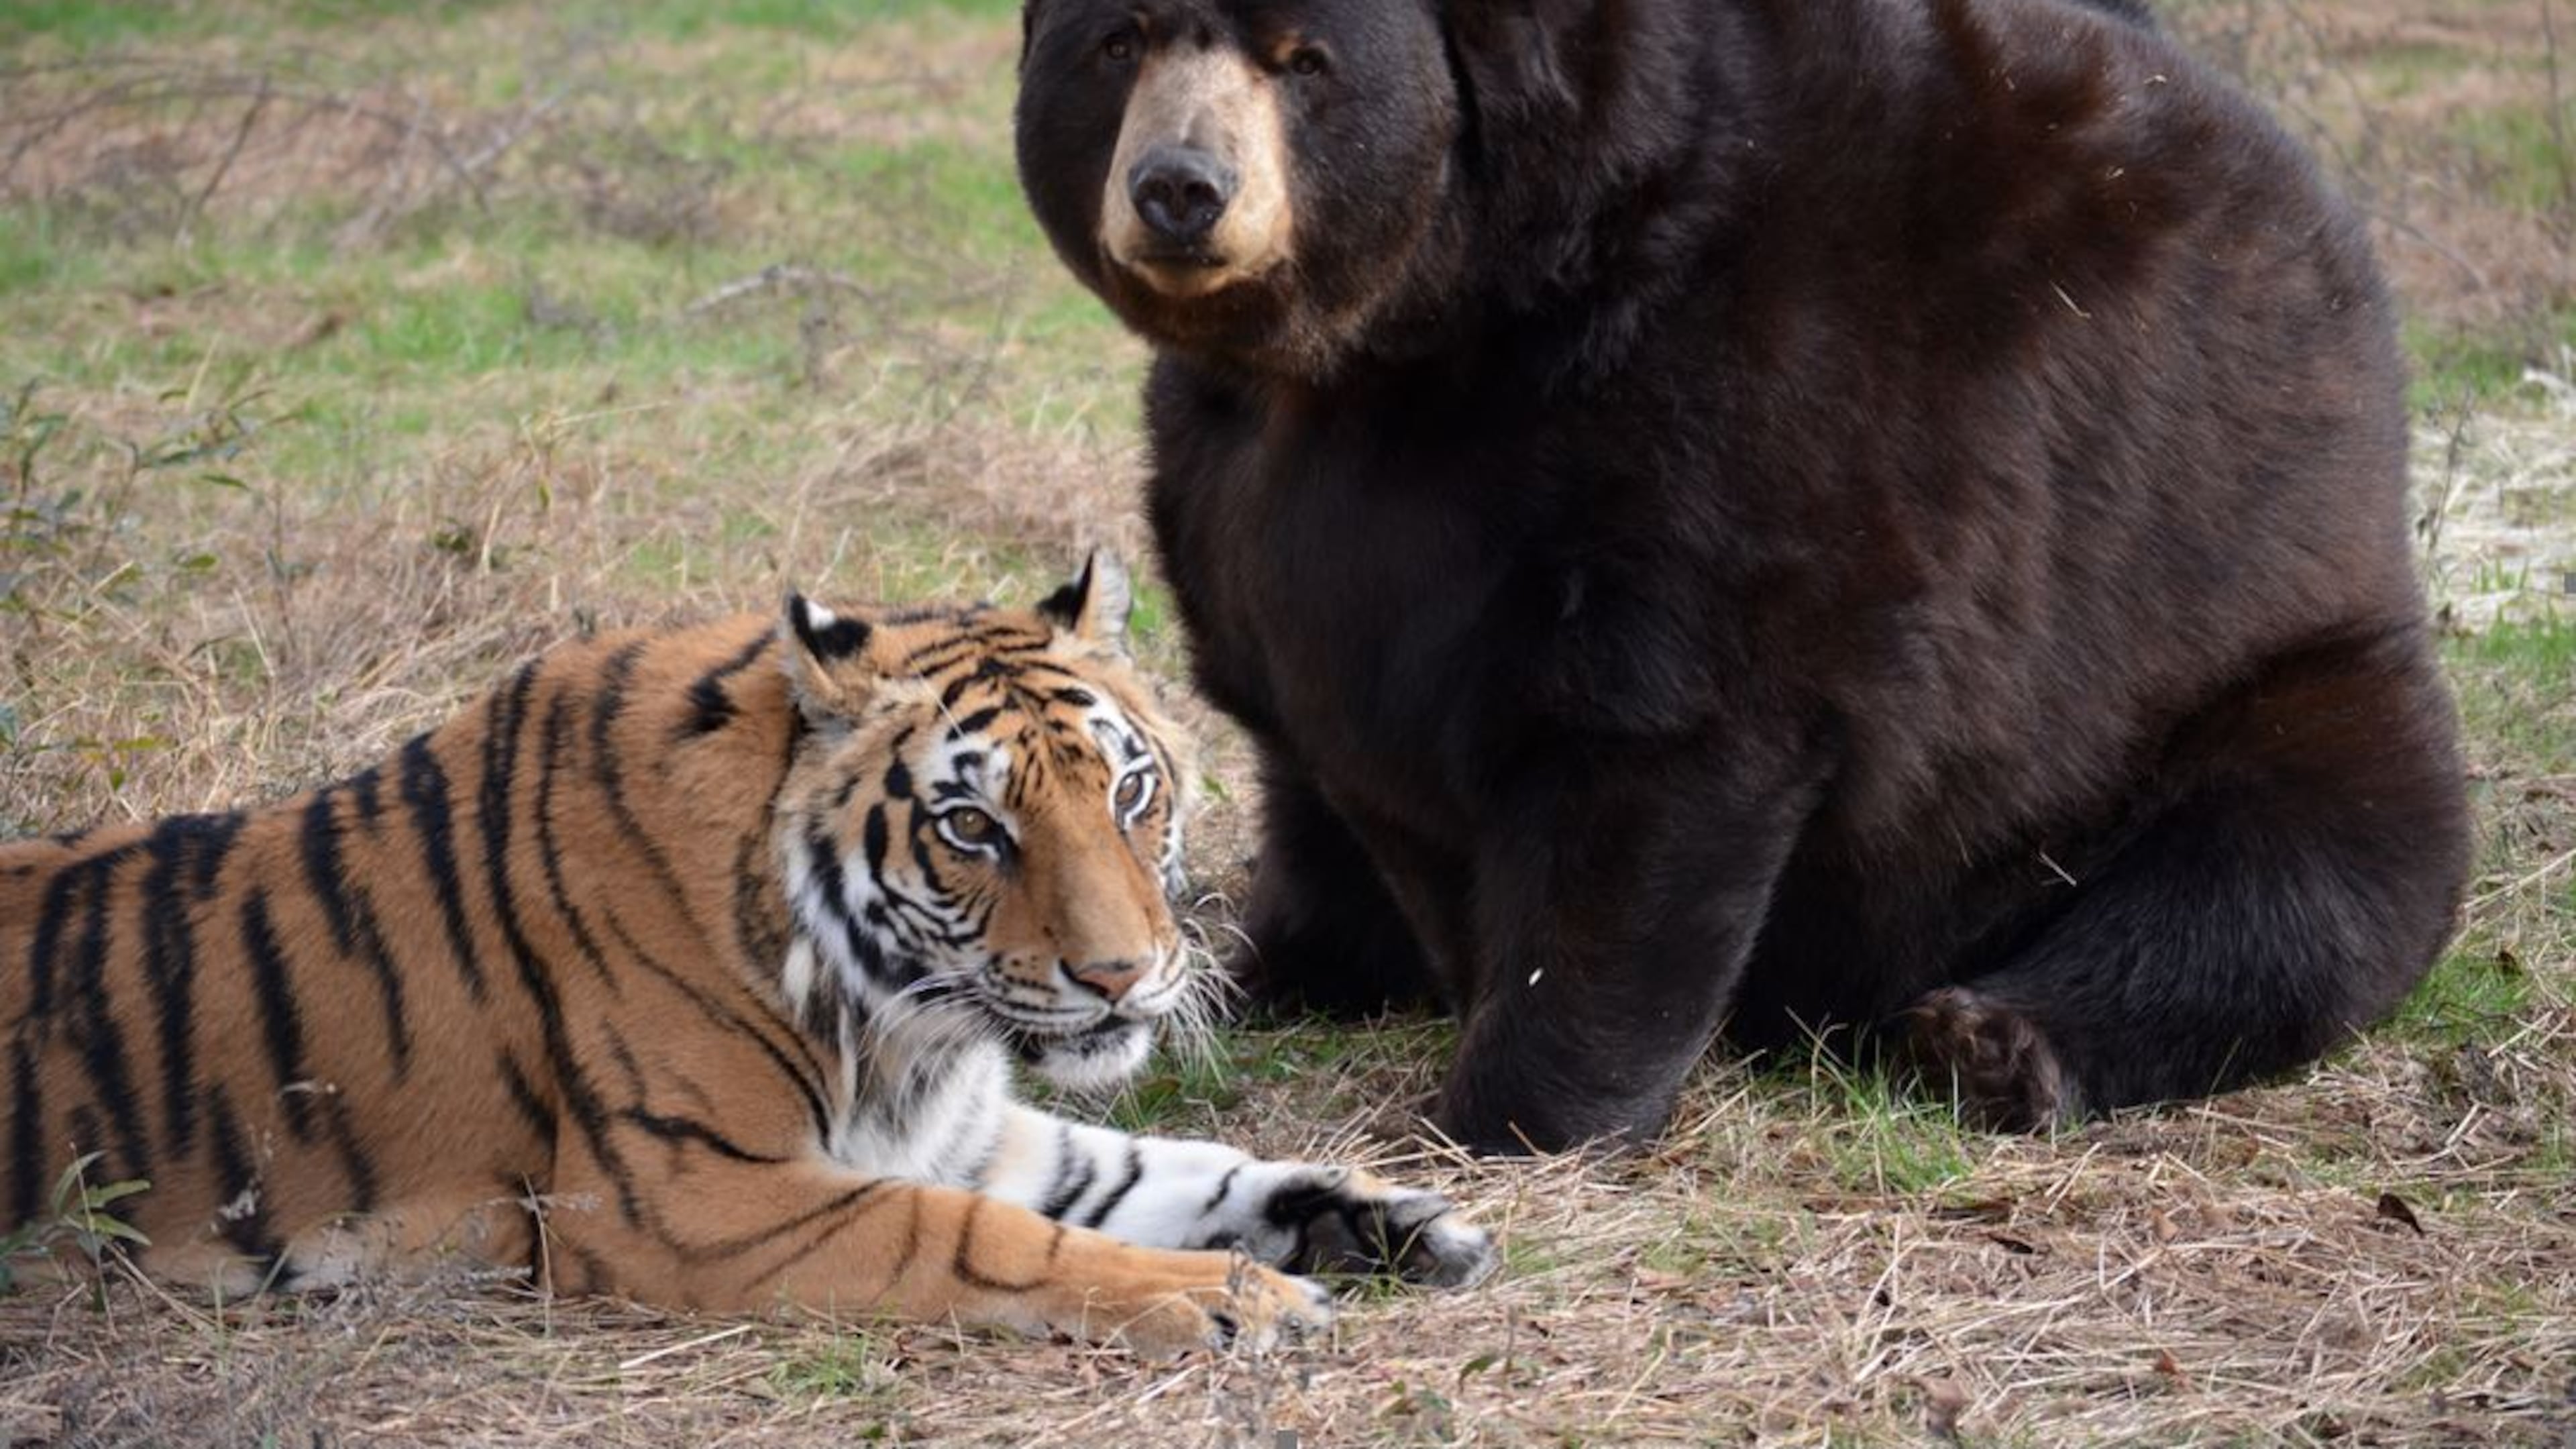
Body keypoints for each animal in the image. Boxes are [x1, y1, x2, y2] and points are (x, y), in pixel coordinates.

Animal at [1013, 0, 2473, 1153]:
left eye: (1303, 60)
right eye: (1120, 40)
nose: (1182, 188)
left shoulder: (1731, 395)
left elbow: (1664, 741)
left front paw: (1513, 1109)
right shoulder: (1236, 487)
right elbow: (1307, 737)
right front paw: (1253, 969)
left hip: (2246, 666)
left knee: (2292, 882)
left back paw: (1993, 1044)